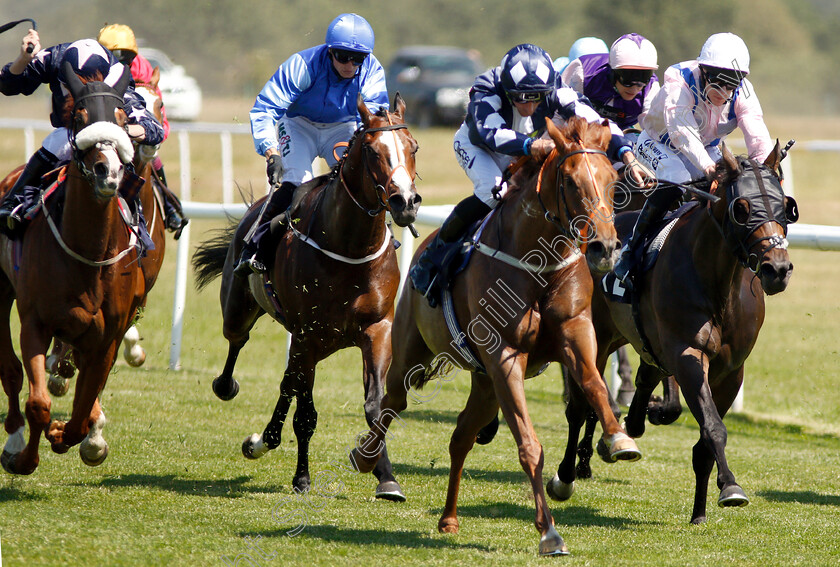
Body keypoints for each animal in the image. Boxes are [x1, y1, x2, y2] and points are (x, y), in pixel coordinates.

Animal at [0, 61, 146, 474]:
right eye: (80, 117)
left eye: (122, 118)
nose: (107, 171)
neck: (88, 252)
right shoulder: (36, 322)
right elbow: (38, 404)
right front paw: (24, 457)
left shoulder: (106, 336)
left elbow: (81, 410)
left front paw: (72, 435)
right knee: (10, 370)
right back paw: (13, 435)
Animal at [194, 93, 424, 502]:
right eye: (372, 151)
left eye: (412, 147)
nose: (406, 201)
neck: (348, 247)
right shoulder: (308, 334)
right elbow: (306, 416)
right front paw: (302, 478)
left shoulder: (377, 329)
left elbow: (376, 406)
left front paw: (384, 475)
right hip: (243, 311)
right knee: (239, 343)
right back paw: (229, 391)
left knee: (287, 383)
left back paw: (264, 439)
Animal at [352, 116, 640, 560]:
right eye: (571, 181)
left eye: (612, 180)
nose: (605, 247)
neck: (538, 263)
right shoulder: (505, 357)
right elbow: (529, 446)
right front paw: (549, 533)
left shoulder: (575, 335)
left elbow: (594, 384)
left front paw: (619, 438)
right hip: (414, 353)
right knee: (392, 402)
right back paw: (367, 459)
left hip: (485, 383)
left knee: (460, 437)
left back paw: (448, 518)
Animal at [552, 144, 800, 524]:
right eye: (741, 208)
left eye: (785, 206)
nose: (778, 269)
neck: (717, 283)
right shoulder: (687, 354)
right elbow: (713, 427)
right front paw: (731, 487)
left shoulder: (731, 369)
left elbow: (705, 440)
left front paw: (700, 512)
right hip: (597, 337)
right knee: (580, 406)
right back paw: (567, 475)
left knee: (641, 376)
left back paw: (633, 421)